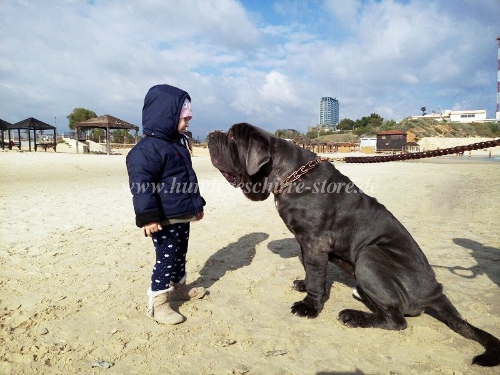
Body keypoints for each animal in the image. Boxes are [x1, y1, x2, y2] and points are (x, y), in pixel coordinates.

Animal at [208, 123, 500, 368]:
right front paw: (305, 283)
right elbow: (311, 269)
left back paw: (353, 316)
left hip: (369, 255)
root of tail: (436, 292)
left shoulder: (315, 240)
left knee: (398, 320)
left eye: (232, 137)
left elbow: (316, 276)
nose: (211, 134)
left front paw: (309, 306)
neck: (288, 174)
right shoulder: (305, 241)